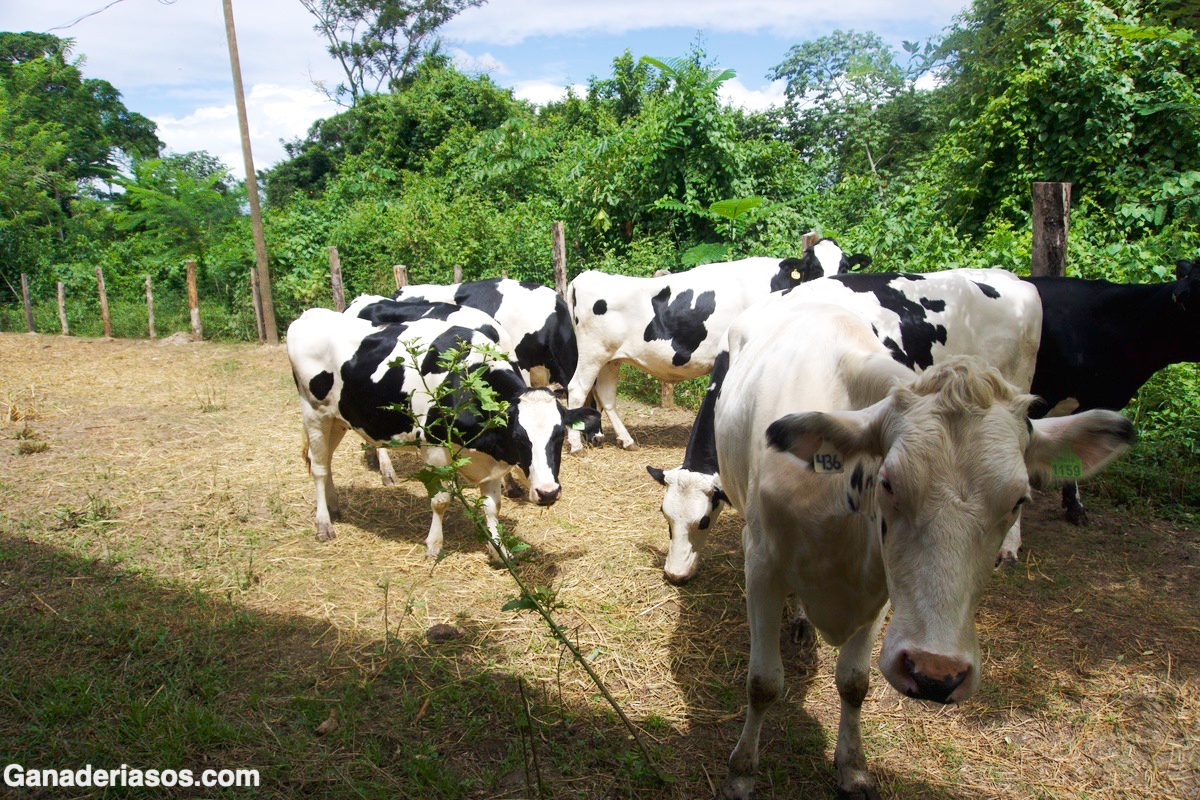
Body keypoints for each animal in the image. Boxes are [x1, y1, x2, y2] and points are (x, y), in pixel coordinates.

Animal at [282, 309, 600, 561]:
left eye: (558, 437)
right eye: (520, 438)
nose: (548, 493)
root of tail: (309, 315)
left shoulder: (490, 463)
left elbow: (492, 506)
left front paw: (499, 550)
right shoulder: (434, 447)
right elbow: (441, 500)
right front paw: (434, 545)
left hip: (337, 418)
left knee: (326, 462)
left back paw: (334, 507)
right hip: (314, 413)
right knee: (318, 468)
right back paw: (324, 524)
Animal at [566, 237, 868, 450]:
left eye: (844, 267)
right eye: (814, 268)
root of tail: (585, 276)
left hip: (610, 358)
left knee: (606, 397)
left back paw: (626, 441)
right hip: (592, 354)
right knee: (577, 389)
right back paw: (576, 444)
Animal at [710, 299, 1132, 800]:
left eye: (1018, 500)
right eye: (889, 483)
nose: (935, 672)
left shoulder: (880, 588)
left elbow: (854, 682)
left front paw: (852, 768)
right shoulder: (761, 563)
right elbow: (762, 683)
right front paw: (740, 773)